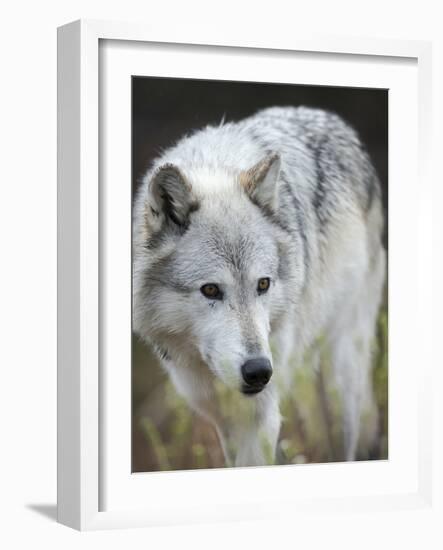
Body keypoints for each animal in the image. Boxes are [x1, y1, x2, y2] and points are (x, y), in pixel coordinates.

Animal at [134, 108, 386, 470]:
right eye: (211, 290)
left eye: (263, 284)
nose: (259, 372)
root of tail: (332, 119)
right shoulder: (222, 418)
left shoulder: (260, 415)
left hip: (340, 382)